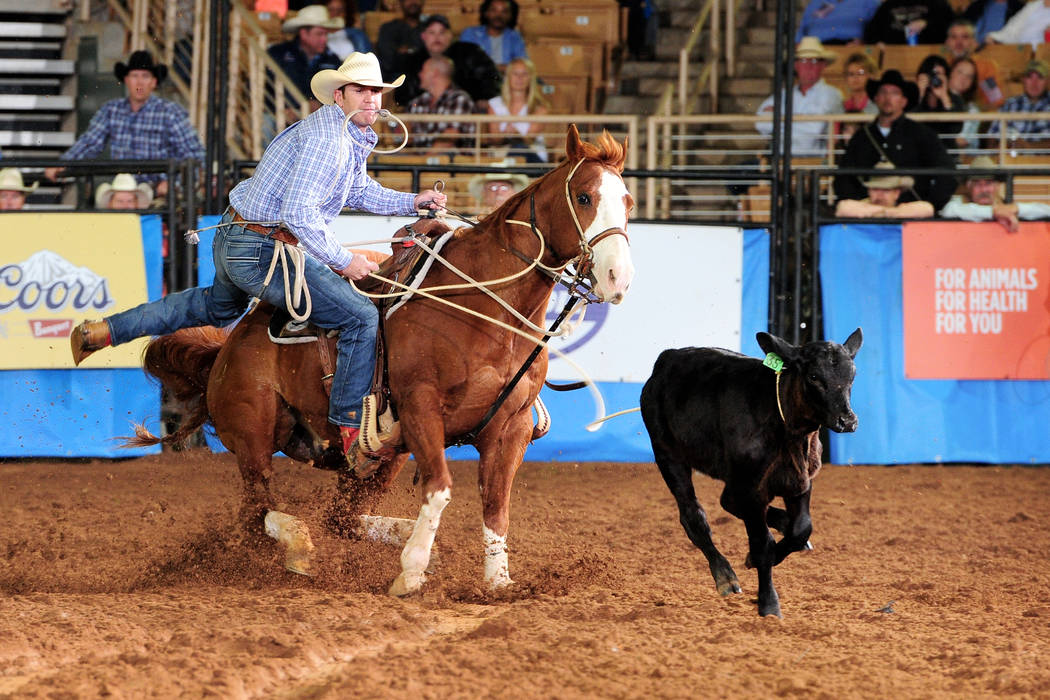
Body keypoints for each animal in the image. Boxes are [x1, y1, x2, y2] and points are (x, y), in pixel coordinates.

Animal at [136, 124, 634, 591]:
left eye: (628, 202)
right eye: (584, 196)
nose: (618, 276)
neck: (481, 306)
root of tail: (228, 348)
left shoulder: (509, 427)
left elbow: (496, 506)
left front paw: (497, 583)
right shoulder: (421, 408)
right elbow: (440, 489)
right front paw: (411, 572)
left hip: (376, 458)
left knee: (338, 519)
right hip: (253, 435)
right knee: (258, 514)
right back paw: (303, 547)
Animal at [638, 329, 860, 617]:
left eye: (852, 374)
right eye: (813, 376)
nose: (848, 421)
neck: (788, 430)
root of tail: (667, 358)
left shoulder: (801, 479)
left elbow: (801, 528)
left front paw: (772, 550)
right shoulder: (752, 488)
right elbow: (762, 544)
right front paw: (769, 604)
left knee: (728, 502)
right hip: (668, 455)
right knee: (694, 516)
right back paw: (725, 576)